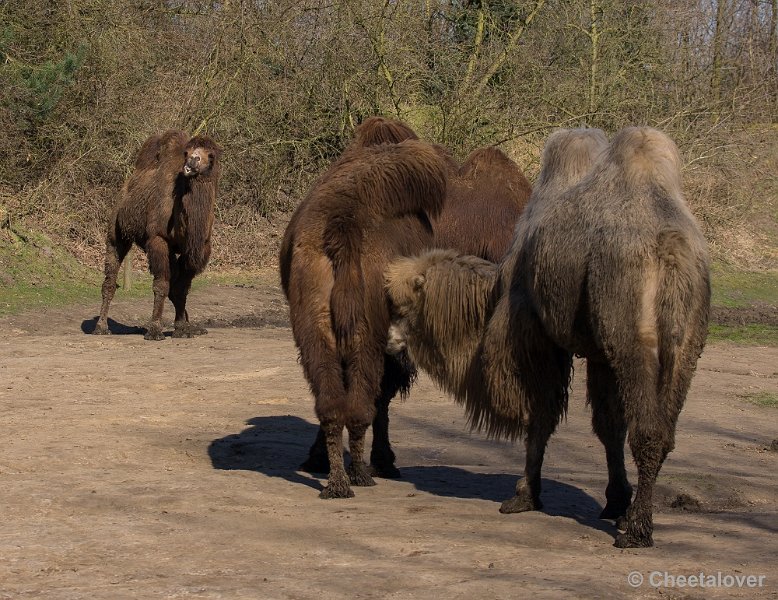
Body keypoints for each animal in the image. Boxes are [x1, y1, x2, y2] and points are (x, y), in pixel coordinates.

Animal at [94, 129, 221, 340]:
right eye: (188, 152)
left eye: (210, 156)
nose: (193, 161)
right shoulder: (158, 239)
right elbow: (161, 285)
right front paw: (154, 330)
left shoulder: (198, 248)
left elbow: (181, 288)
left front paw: (183, 328)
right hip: (116, 230)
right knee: (110, 278)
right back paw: (101, 327)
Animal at [384, 127, 708, 548]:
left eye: (404, 306)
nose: (388, 342)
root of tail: (670, 248)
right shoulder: (599, 353)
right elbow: (608, 425)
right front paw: (615, 500)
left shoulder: (534, 334)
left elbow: (539, 415)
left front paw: (524, 495)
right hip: (684, 344)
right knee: (663, 429)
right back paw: (634, 516)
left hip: (632, 336)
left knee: (648, 430)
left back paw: (637, 530)